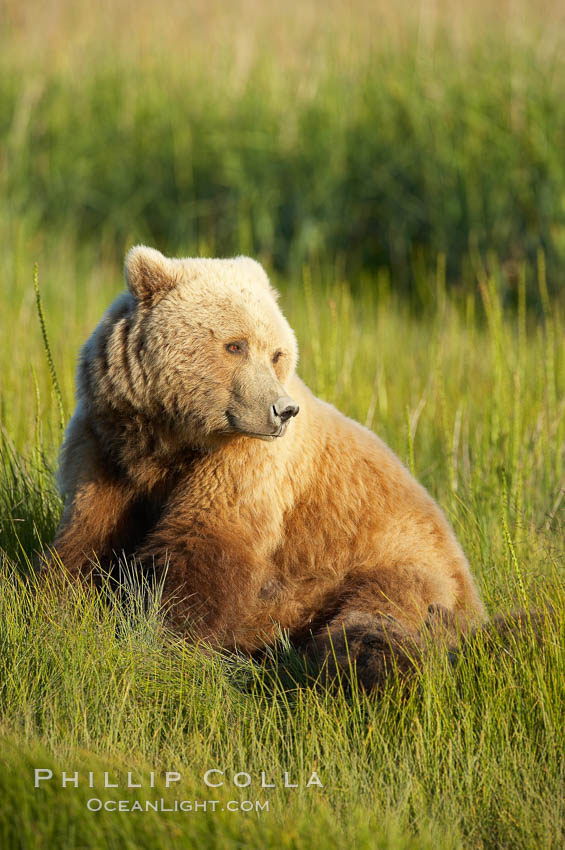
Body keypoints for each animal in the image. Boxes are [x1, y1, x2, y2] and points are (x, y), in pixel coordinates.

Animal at [50, 247, 486, 688]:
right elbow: (88, 536)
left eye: (276, 353)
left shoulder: (244, 466)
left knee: (374, 620)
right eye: (235, 345)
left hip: (398, 566)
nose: (283, 410)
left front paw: (164, 639)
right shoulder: (107, 445)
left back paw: (357, 666)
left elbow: (204, 549)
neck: (168, 441)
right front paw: (59, 604)